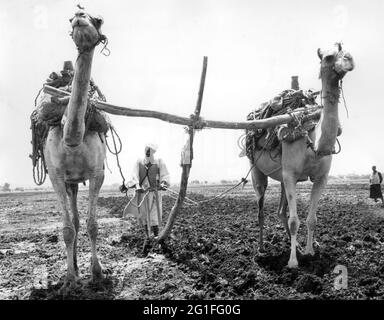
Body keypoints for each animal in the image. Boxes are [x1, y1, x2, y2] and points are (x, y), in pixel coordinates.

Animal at [250, 43, 356, 268]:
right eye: (328, 57)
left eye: (344, 49)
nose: (349, 59)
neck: (313, 144)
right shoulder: (291, 175)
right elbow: (293, 221)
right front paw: (292, 263)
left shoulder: (321, 177)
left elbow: (311, 219)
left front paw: (309, 252)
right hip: (257, 171)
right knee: (261, 210)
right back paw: (261, 249)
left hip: (282, 177)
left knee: (280, 212)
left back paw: (296, 246)